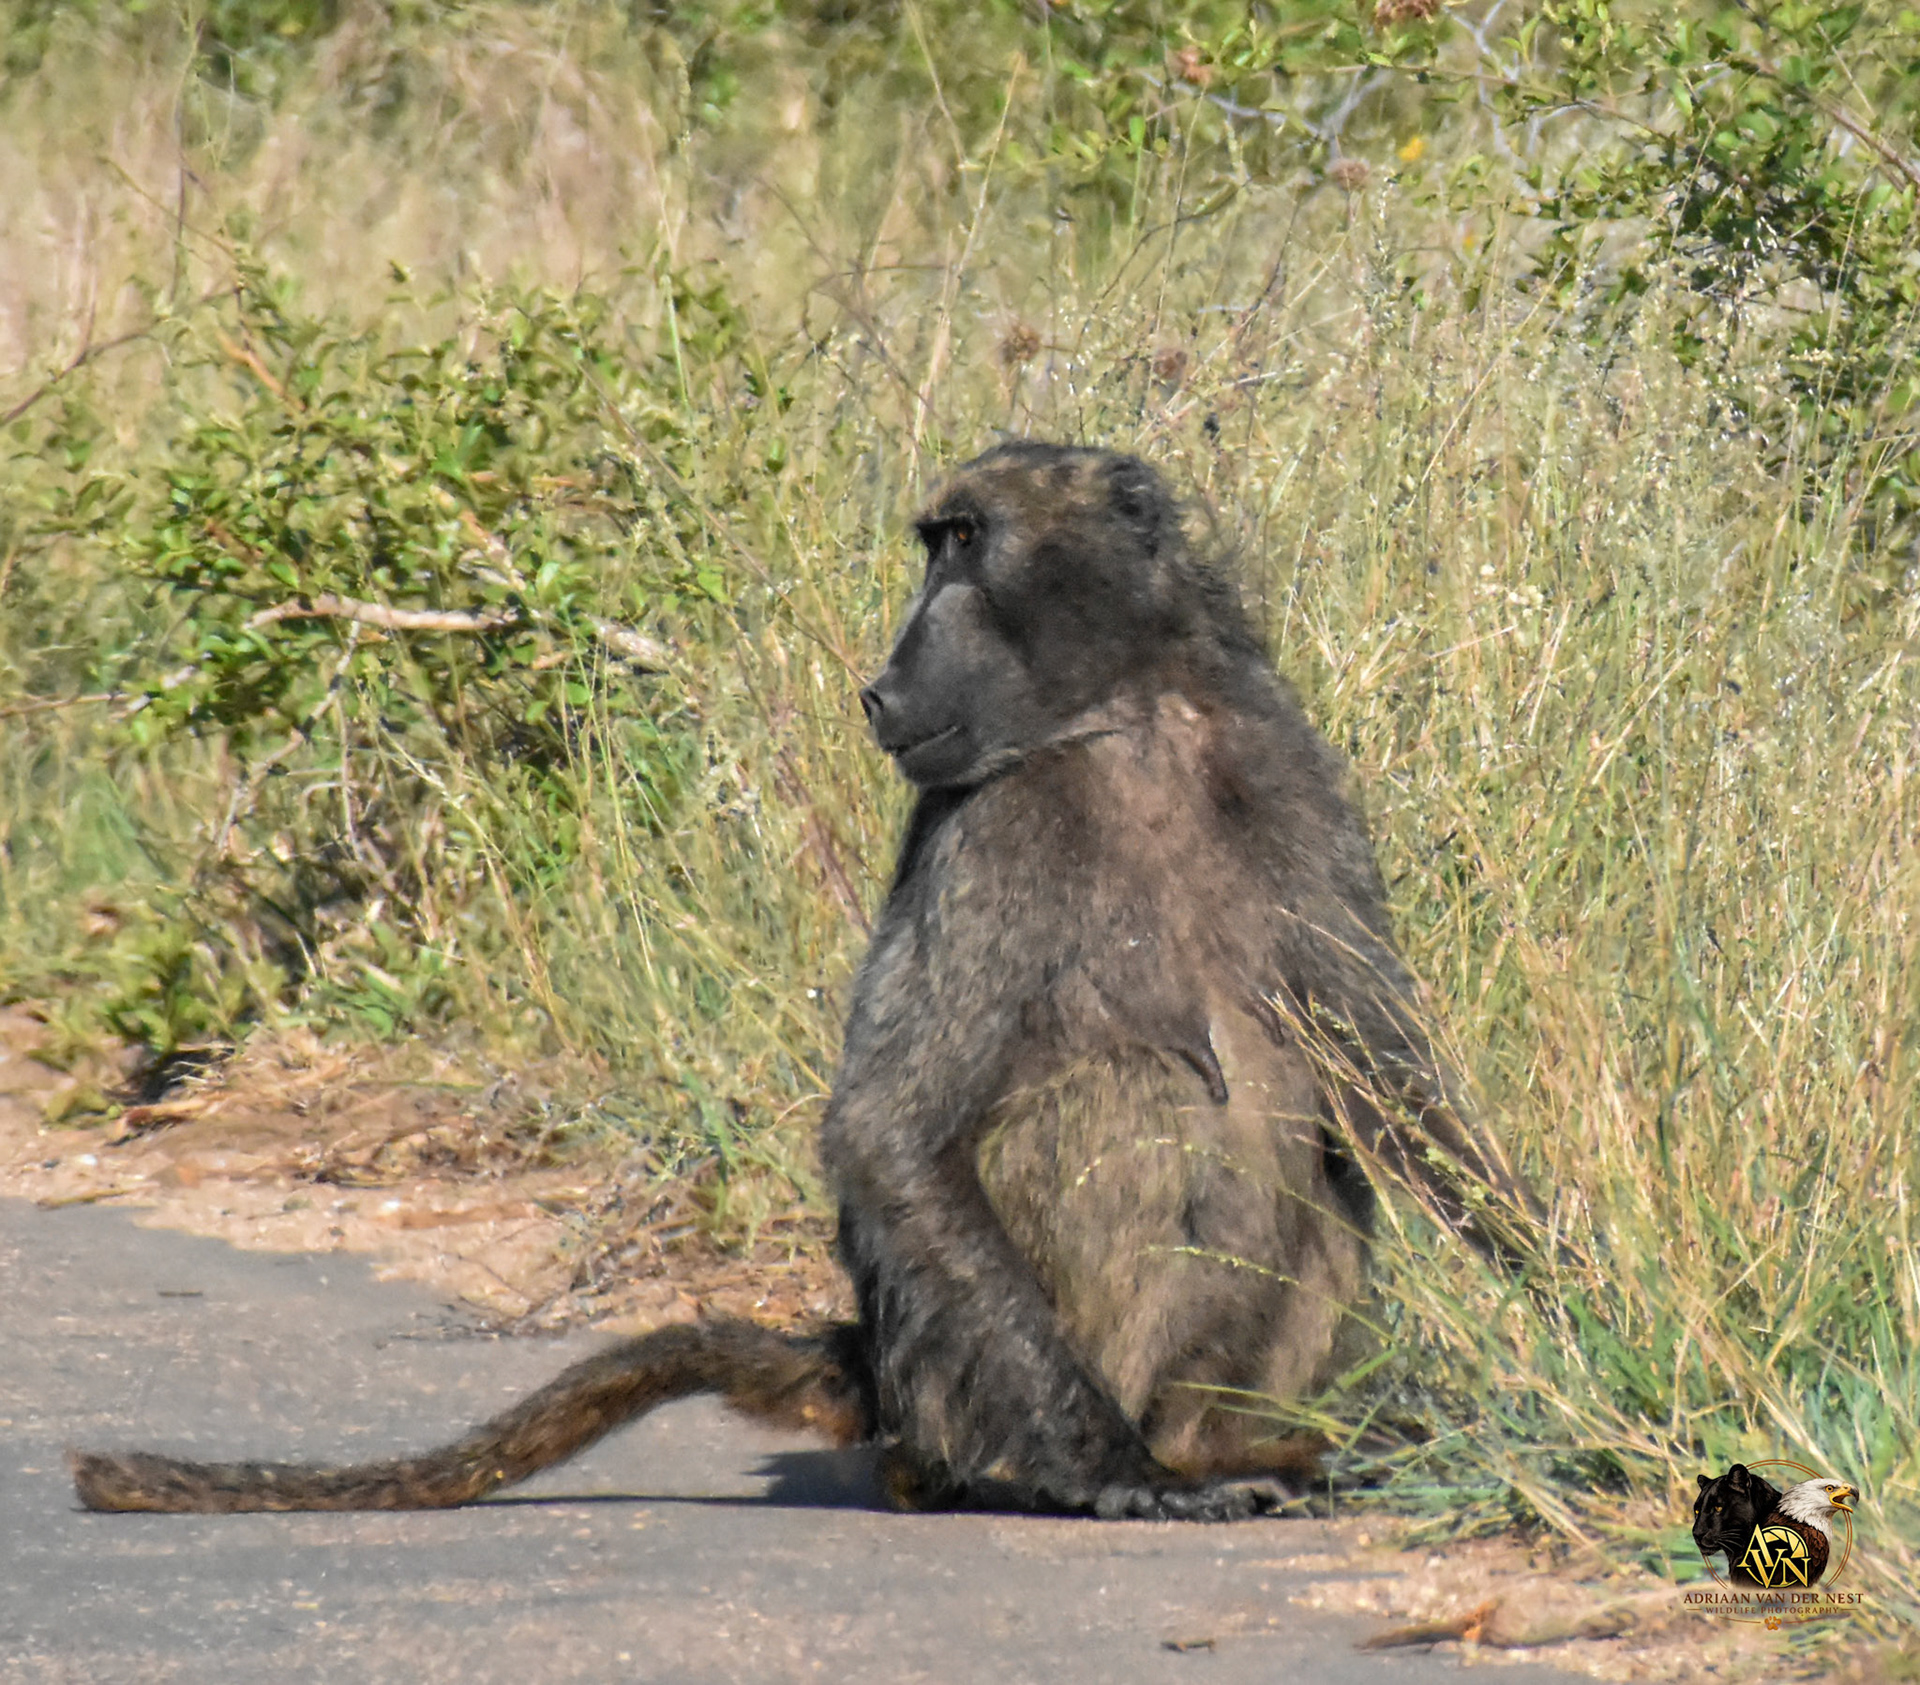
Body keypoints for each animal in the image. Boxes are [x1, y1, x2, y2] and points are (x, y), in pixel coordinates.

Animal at [70, 441, 1536, 1522]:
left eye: (966, 544)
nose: (881, 688)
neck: (1121, 726)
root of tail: (875, 1375)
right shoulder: (987, 832)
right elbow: (887, 1126)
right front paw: (1109, 1476)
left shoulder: (1287, 767)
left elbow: (1388, 1083)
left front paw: (1565, 1293)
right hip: (946, 1382)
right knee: (1143, 1101)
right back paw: (1064, 1468)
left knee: (1310, 1131)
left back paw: (1251, 1443)